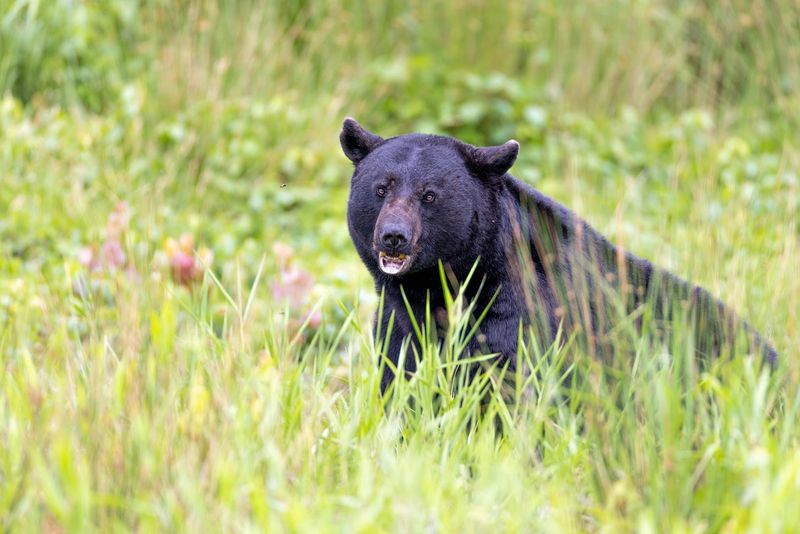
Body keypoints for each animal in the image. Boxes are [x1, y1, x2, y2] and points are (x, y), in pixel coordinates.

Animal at [339, 118, 777, 394]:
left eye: (429, 195)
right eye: (381, 188)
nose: (394, 237)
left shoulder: (524, 313)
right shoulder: (399, 322)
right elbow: (401, 378)